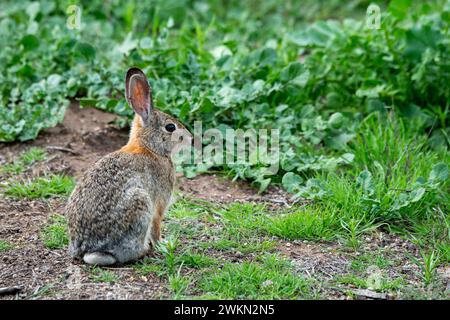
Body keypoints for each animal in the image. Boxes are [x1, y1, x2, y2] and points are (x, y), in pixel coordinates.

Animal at [66, 67, 192, 264]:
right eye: (170, 127)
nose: (191, 138)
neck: (149, 147)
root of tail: (87, 248)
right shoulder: (158, 206)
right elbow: (156, 227)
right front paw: (164, 245)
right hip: (140, 204)